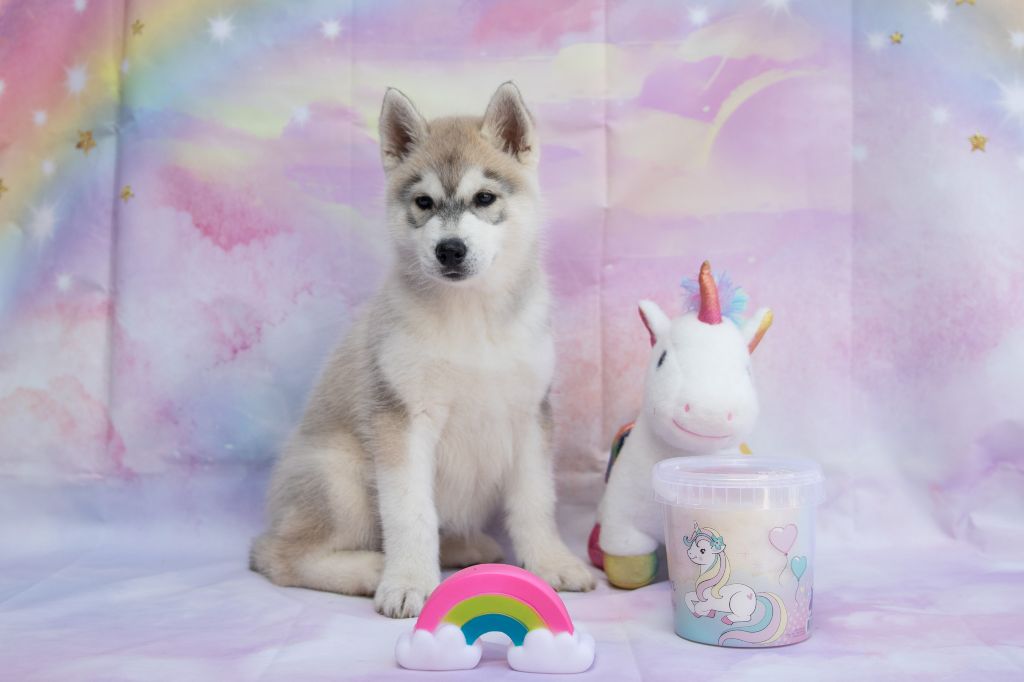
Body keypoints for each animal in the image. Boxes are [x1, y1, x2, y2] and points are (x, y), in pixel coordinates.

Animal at [250, 82, 595, 618]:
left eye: (484, 198)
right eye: (424, 202)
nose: (449, 249)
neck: (472, 317)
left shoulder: (530, 416)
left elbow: (536, 502)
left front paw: (551, 563)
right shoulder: (403, 420)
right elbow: (410, 513)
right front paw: (408, 582)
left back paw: (464, 548)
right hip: (339, 478)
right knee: (278, 555)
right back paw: (370, 568)